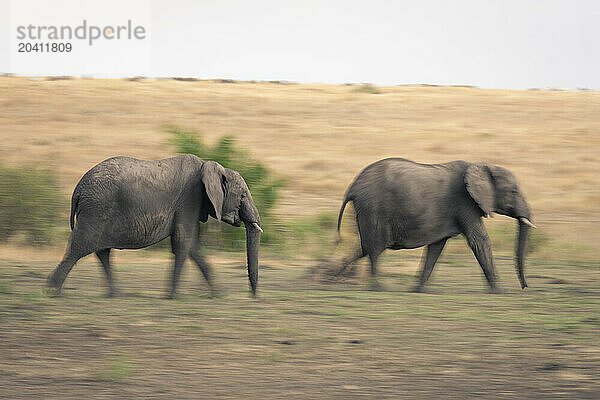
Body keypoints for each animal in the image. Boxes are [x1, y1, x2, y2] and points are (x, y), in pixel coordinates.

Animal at [45, 155, 262, 298]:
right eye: (243, 196)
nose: (252, 297)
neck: (210, 166)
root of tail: (78, 189)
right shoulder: (189, 199)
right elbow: (183, 241)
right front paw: (173, 296)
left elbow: (191, 245)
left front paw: (219, 294)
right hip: (96, 210)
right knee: (81, 246)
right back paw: (52, 290)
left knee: (101, 251)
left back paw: (115, 295)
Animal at [336, 158, 536, 292]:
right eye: (513, 191)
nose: (525, 287)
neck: (482, 165)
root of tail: (353, 187)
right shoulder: (465, 203)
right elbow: (479, 240)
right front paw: (498, 291)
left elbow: (436, 247)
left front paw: (418, 290)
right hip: (374, 209)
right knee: (375, 248)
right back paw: (378, 287)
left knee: (365, 247)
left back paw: (334, 275)